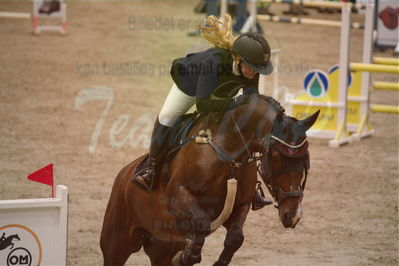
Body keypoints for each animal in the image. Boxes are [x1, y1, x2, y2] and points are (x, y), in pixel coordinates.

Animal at [101, 94, 320, 264]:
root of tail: (124, 174)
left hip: (160, 248)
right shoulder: (178, 195)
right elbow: (202, 224)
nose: (293, 215)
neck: (229, 152)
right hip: (117, 243)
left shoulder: (240, 205)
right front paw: (187, 256)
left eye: (306, 158)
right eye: (275, 156)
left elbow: (236, 237)